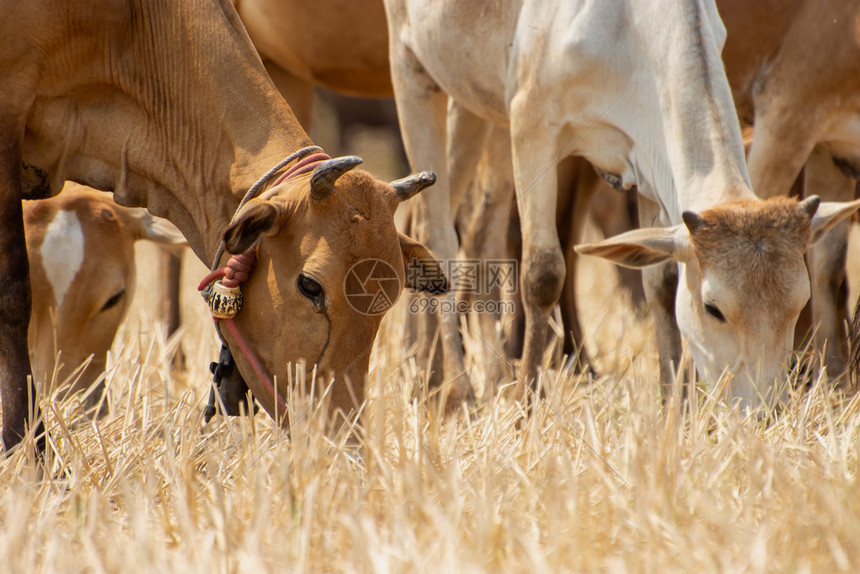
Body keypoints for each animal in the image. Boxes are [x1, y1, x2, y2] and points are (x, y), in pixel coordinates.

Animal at [382, 0, 860, 410]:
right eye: (714, 308)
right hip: (412, 70)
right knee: (437, 230)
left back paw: (447, 379)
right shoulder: (532, 125)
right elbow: (543, 273)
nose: (764, 412)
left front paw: (676, 407)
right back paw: (456, 393)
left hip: (475, 107)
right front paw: (526, 407)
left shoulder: (647, 163)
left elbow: (661, 283)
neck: (624, 26)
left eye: (799, 304)